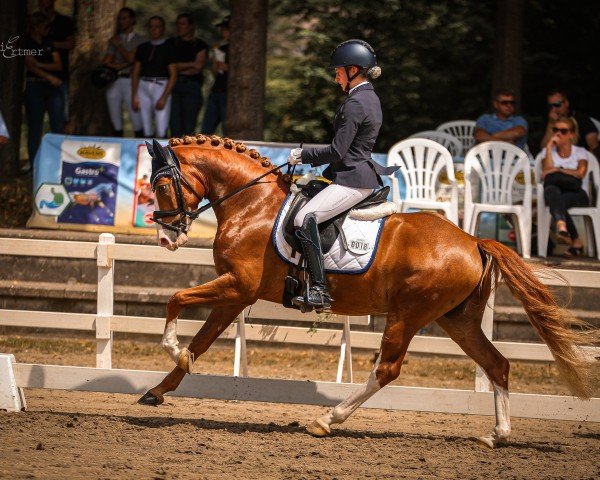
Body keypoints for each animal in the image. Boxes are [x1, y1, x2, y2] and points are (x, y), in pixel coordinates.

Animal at [138, 133, 596, 448]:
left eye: (160, 186)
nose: (164, 238)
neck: (252, 204)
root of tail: (472, 241)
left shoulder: (237, 286)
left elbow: (175, 300)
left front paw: (172, 350)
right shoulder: (235, 294)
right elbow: (201, 340)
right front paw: (157, 390)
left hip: (408, 315)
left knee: (387, 369)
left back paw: (328, 419)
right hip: (458, 319)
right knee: (496, 364)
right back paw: (496, 434)